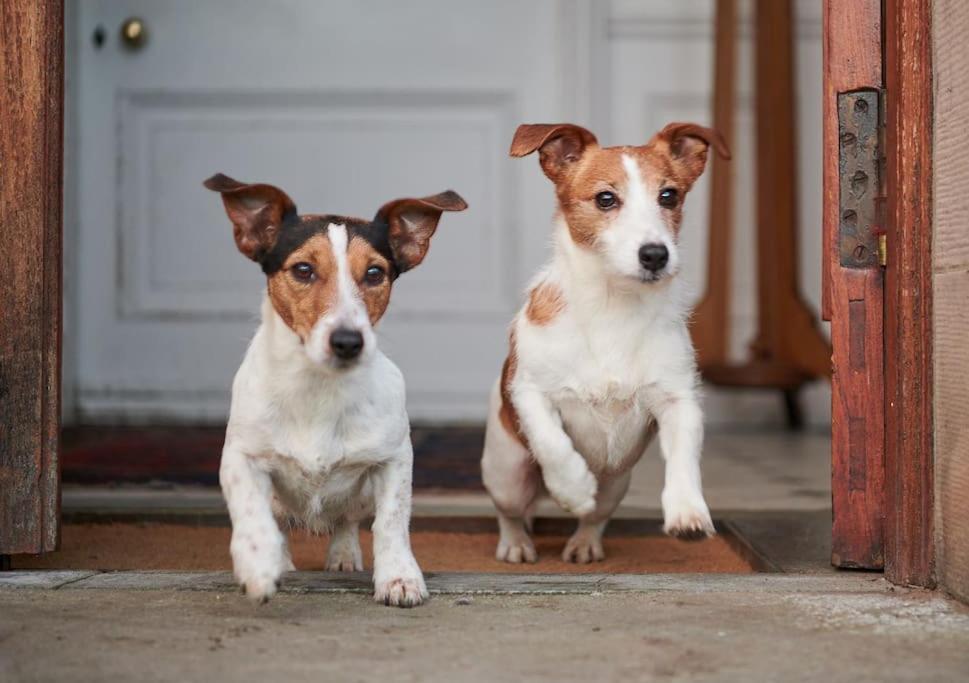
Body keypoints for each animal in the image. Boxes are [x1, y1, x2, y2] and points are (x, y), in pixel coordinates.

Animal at [203, 174, 466, 608]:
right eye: (303, 269)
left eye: (375, 273)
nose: (348, 341)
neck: (318, 389)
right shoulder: (240, 455)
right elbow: (251, 509)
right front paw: (258, 565)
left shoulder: (394, 459)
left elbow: (392, 521)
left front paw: (399, 578)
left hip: (360, 495)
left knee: (346, 520)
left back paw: (343, 556)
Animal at [480, 120, 728, 564]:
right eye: (606, 199)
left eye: (669, 195)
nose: (655, 254)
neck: (614, 305)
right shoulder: (530, 392)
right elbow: (553, 442)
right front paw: (574, 487)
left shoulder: (678, 400)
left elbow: (684, 458)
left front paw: (687, 511)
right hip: (507, 472)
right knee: (511, 511)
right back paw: (517, 543)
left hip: (617, 484)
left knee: (595, 517)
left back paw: (584, 543)